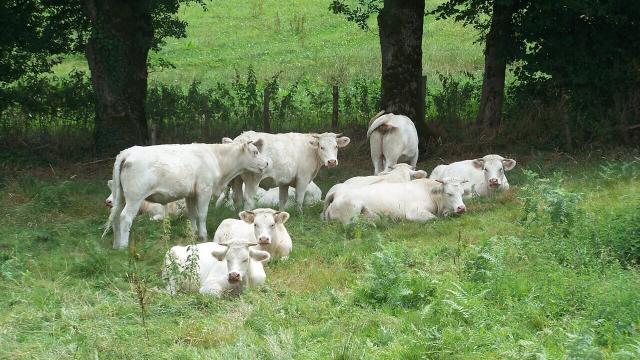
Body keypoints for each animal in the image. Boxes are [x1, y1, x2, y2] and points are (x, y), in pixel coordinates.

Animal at [104, 139, 268, 249]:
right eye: (255, 152)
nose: (266, 163)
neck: (216, 158)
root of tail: (127, 152)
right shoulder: (204, 190)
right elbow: (202, 215)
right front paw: (203, 235)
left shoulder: (190, 194)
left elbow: (192, 214)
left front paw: (193, 234)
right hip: (135, 197)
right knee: (125, 217)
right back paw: (123, 246)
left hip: (120, 197)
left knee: (115, 216)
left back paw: (116, 245)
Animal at [324, 178, 470, 225]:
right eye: (449, 193)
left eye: (462, 193)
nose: (461, 208)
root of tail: (336, 195)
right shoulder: (414, 212)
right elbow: (434, 218)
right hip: (353, 210)